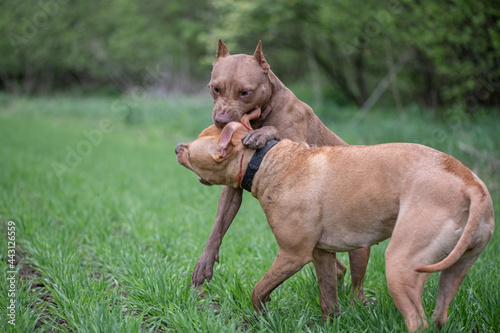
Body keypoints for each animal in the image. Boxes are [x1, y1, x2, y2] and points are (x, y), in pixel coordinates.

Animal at [177, 113, 496, 330]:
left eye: (193, 146)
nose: (178, 145)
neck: (266, 161)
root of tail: (472, 185)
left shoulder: (293, 255)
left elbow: (259, 289)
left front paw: (262, 314)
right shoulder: (322, 254)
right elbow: (328, 297)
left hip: (400, 265)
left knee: (417, 320)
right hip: (454, 271)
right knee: (439, 315)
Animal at [192, 39, 372, 300]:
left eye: (245, 92)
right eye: (215, 88)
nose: (222, 120)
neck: (265, 111)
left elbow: (274, 131)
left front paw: (261, 134)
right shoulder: (232, 190)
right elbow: (218, 225)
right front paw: (205, 261)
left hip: (359, 245)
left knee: (357, 281)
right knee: (336, 267)